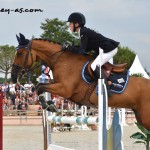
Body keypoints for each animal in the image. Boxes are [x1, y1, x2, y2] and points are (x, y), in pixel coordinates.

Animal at [11, 33, 150, 130]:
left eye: (20, 54)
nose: (12, 77)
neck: (61, 60)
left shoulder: (65, 89)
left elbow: (40, 87)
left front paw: (48, 105)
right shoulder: (62, 89)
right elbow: (40, 85)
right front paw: (50, 104)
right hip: (141, 117)